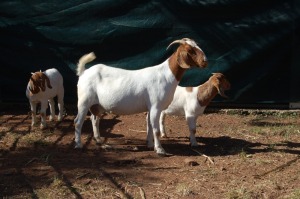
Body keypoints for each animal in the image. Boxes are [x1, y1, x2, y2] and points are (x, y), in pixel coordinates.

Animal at [74, 37, 207, 155]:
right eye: (190, 50)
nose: (205, 61)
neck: (166, 75)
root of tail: (84, 72)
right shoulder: (155, 107)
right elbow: (156, 130)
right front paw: (160, 150)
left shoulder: (150, 108)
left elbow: (149, 127)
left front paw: (150, 145)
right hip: (84, 101)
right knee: (78, 122)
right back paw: (78, 145)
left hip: (97, 105)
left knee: (95, 119)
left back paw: (99, 140)